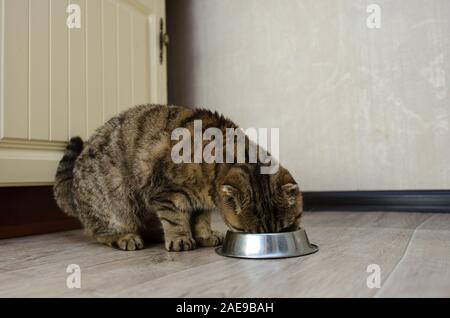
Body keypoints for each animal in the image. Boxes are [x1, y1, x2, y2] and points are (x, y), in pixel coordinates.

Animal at [54, 105, 304, 252]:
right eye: (250, 233)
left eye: (285, 228)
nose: (271, 241)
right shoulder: (166, 194)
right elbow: (175, 219)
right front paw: (181, 239)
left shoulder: (201, 204)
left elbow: (201, 220)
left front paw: (204, 235)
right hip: (115, 202)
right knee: (100, 232)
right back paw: (125, 237)